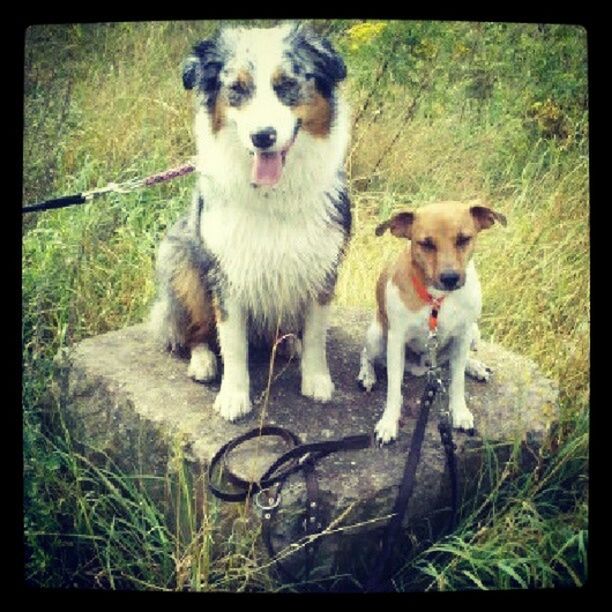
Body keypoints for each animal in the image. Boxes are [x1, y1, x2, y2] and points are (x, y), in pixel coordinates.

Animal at [149, 21, 354, 418]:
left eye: (286, 83)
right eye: (238, 88)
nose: (262, 137)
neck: (274, 195)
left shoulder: (322, 267)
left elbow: (316, 334)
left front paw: (316, 380)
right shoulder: (228, 272)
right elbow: (232, 343)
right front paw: (233, 396)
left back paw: (289, 343)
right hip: (182, 263)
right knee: (196, 331)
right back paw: (202, 361)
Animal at [356, 201, 504, 444]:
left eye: (464, 239)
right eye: (425, 244)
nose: (450, 278)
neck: (438, 299)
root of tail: (423, 368)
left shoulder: (463, 334)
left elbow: (457, 381)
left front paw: (460, 411)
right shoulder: (396, 340)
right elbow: (394, 390)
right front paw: (388, 422)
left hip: (474, 332)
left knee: (457, 360)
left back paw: (474, 366)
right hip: (377, 336)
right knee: (367, 355)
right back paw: (367, 375)